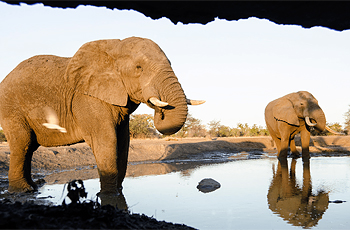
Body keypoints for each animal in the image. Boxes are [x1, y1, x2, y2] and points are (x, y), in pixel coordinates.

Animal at [0, 36, 205, 194]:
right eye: (139, 68)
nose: (160, 109)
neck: (113, 49)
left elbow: (123, 142)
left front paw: (118, 191)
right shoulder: (87, 98)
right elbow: (106, 140)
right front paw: (109, 194)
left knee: (29, 148)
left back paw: (33, 187)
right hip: (11, 109)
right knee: (23, 144)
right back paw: (23, 190)